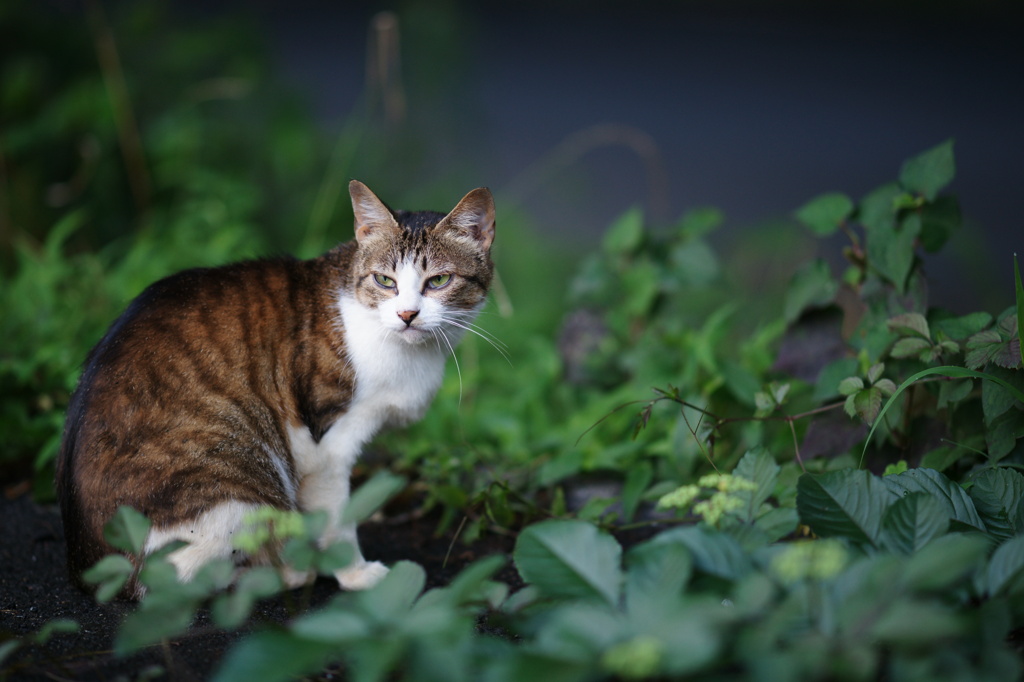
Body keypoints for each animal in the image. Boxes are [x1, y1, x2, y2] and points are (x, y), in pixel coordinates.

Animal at [56, 179, 495, 593]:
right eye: (385, 280)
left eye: (439, 280)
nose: (407, 314)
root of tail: (93, 571)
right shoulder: (327, 444)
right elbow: (337, 518)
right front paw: (354, 574)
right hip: (236, 491)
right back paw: (287, 571)